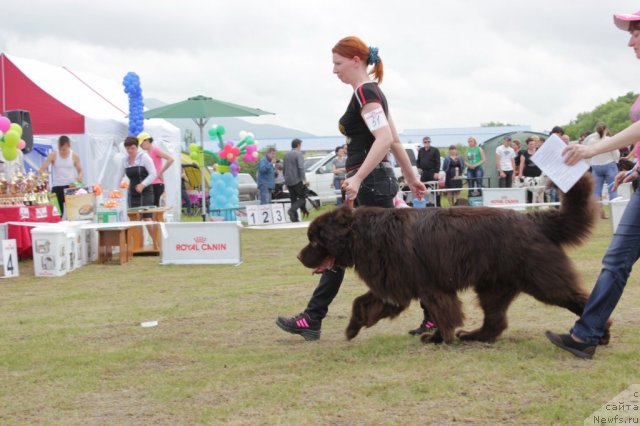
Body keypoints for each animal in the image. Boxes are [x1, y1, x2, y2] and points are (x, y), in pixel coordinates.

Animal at [300, 175, 608, 344]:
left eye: (314, 241)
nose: (299, 256)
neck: (363, 235)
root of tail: (535, 219)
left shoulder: (427, 286)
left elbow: (442, 314)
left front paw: (439, 338)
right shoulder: (394, 285)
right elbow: (361, 303)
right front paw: (353, 328)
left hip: (542, 278)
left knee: (575, 297)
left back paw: (600, 334)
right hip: (494, 286)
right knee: (495, 321)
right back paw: (473, 336)